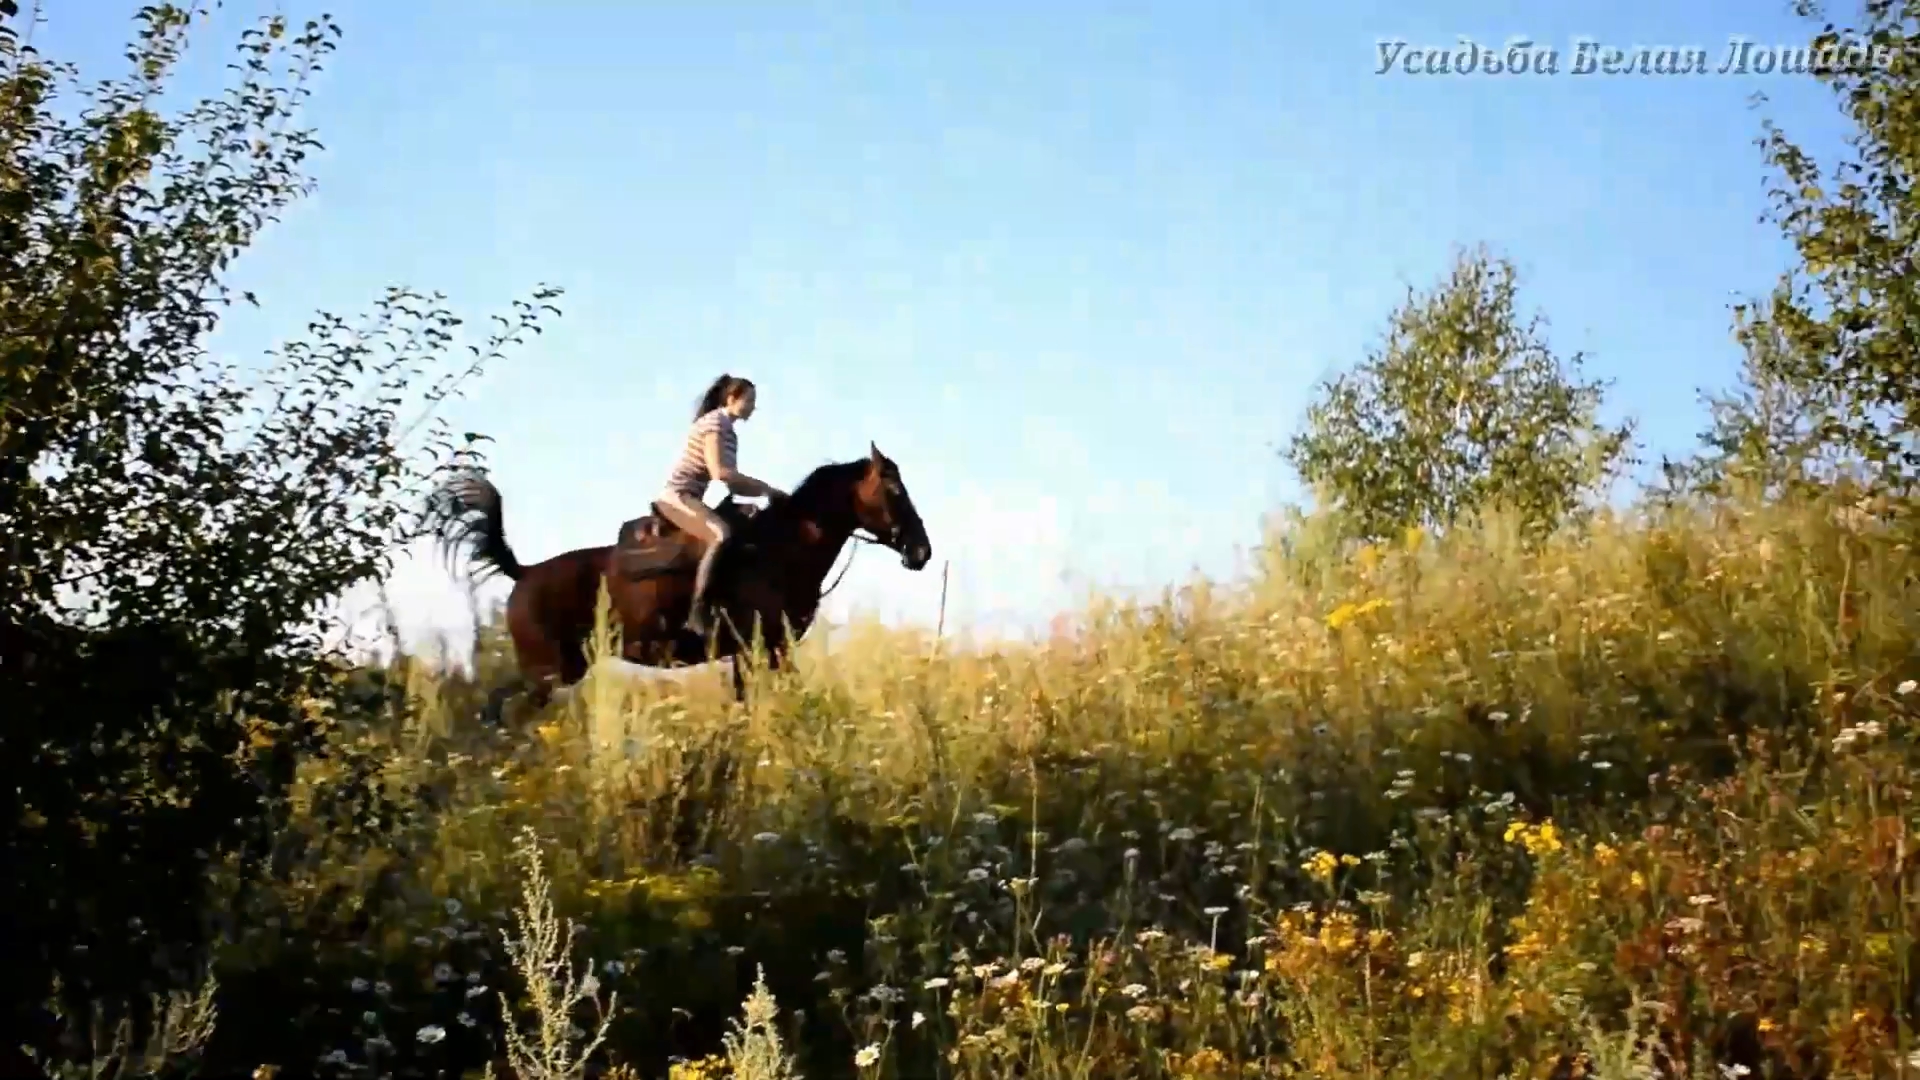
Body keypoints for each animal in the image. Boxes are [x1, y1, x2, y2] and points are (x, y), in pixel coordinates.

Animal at [437, 441, 944, 718]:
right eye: (893, 488)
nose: (921, 551)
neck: (782, 548)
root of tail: (523, 572)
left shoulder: (761, 655)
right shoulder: (761, 650)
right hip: (549, 671)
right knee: (502, 706)